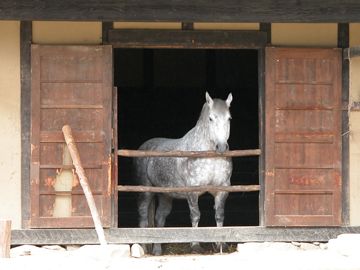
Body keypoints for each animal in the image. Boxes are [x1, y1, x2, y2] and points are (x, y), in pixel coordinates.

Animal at [134, 93, 232, 255]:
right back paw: (143, 248)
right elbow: (195, 215)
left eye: (229, 118)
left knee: (160, 218)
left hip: (165, 195)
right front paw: (195, 246)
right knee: (143, 218)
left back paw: (157, 250)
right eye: (211, 118)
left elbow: (219, 215)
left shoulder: (222, 190)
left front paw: (221, 245)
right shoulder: (192, 192)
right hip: (145, 191)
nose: (222, 147)